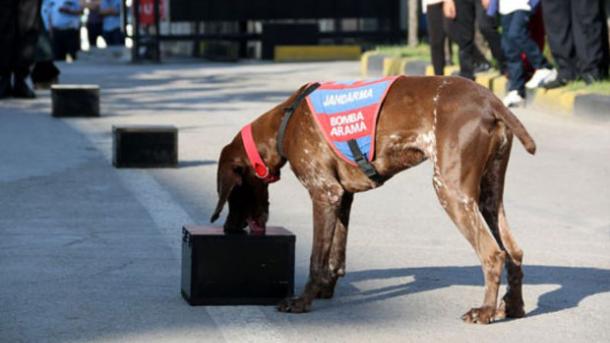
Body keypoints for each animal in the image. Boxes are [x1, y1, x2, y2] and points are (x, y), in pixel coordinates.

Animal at [211, 76, 536, 326]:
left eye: (232, 193)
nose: (227, 228)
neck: (284, 122)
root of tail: (490, 101)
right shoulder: (342, 197)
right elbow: (336, 257)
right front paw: (325, 290)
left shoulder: (324, 193)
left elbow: (317, 259)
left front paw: (302, 301)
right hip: (488, 196)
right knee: (514, 251)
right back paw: (513, 307)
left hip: (450, 189)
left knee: (493, 254)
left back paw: (485, 312)